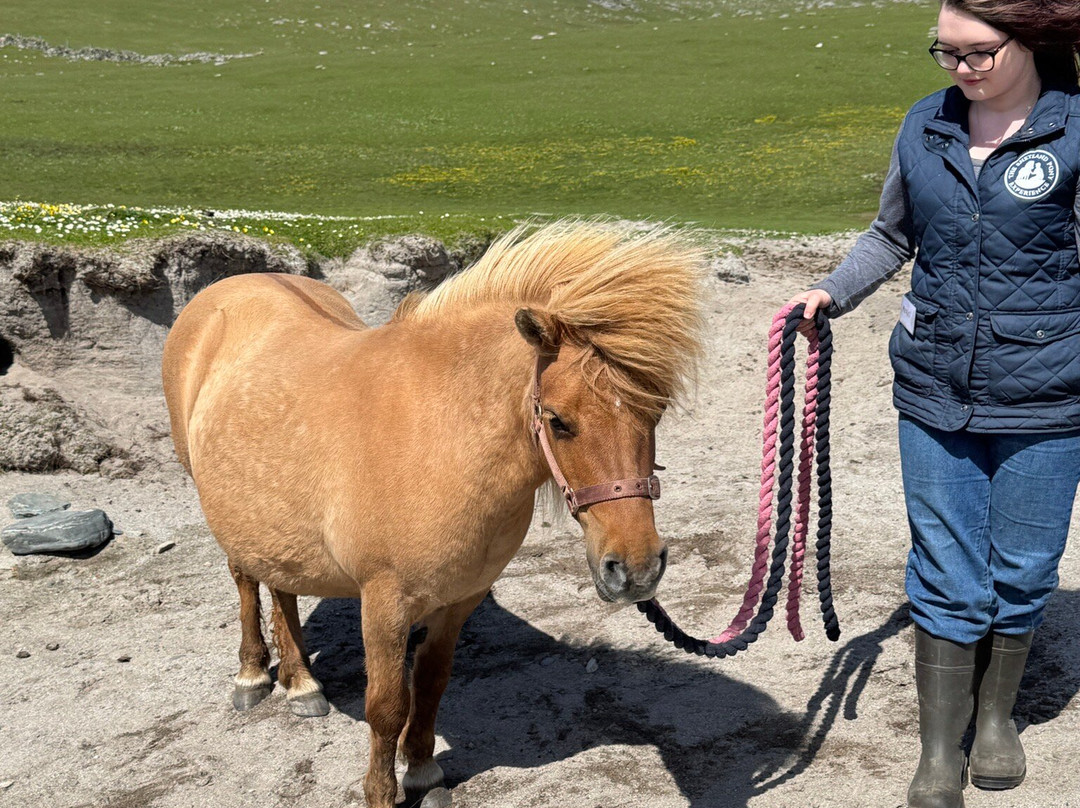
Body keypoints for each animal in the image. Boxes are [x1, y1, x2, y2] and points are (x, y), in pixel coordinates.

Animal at [161, 220, 706, 807]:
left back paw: (302, 684)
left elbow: (431, 682)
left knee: (282, 583)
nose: (637, 570)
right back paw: (253, 676)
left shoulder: (459, 599)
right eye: (559, 421)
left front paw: (422, 772)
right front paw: (382, 793)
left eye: (657, 410)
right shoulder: (385, 603)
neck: (440, 435)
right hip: (223, 510)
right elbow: (385, 706)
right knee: (245, 579)